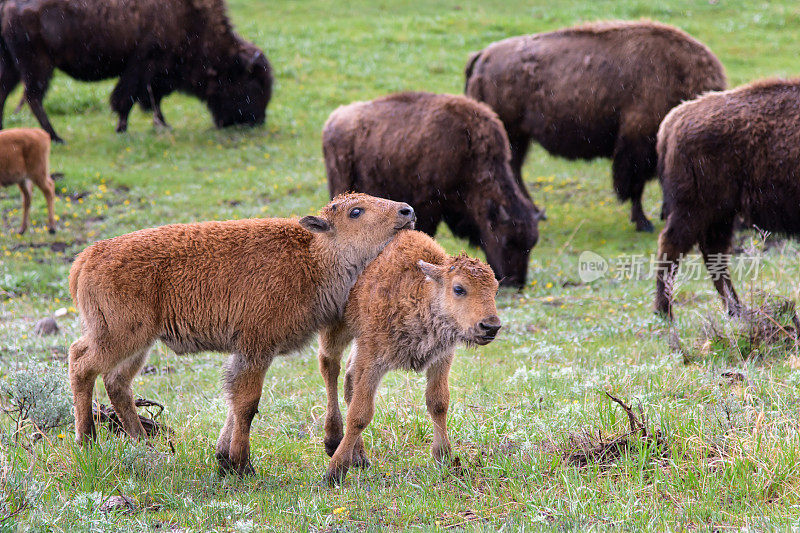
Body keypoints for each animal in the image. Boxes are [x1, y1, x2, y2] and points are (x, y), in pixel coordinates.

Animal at [0, 0, 272, 142]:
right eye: (251, 85)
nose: (257, 121)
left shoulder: (157, 74)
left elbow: (153, 99)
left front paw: (164, 125)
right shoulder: (143, 65)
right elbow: (128, 98)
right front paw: (122, 129)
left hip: (14, 65)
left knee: (7, 94)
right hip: (38, 65)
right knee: (34, 97)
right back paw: (55, 137)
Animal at [314, 231, 496, 484]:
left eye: (495, 290)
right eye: (459, 289)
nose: (491, 326)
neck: (420, 292)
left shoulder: (441, 359)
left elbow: (438, 402)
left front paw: (445, 458)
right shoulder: (373, 361)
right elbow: (360, 414)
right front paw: (335, 471)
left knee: (349, 378)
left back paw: (359, 456)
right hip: (337, 329)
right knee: (330, 367)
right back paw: (333, 442)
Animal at [324, 91, 544, 286]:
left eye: (531, 244)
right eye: (507, 240)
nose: (516, 282)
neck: (469, 150)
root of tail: (333, 121)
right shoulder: (429, 204)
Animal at [466, 19, 728, 232]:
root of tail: (483, 55)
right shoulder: (636, 146)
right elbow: (635, 186)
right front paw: (644, 223)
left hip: (519, 137)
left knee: (515, 171)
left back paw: (536, 212)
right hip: (511, 135)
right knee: (511, 172)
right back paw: (533, 212)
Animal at [652, 79, 800, 316]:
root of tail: (674, 119)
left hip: (721, 214)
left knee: (713, 253)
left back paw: (736, 310)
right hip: (697, 209)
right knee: (673, 245)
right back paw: (666, 313)